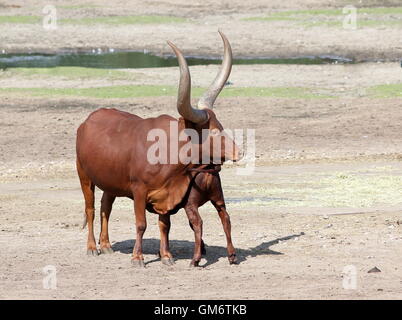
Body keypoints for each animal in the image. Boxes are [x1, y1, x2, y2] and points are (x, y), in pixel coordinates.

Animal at [76, 32, 239, 268]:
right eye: (214, 131)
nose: (238, 151)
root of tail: (88, 120)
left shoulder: (168, 194)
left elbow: (164, 225)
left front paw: (166, 256)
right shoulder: (139, 190)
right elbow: (141, 224)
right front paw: (138, 258)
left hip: (111, 181)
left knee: (106, 206)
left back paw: (105, 245)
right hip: (84, 175)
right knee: (90, 209)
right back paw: (91, 247)